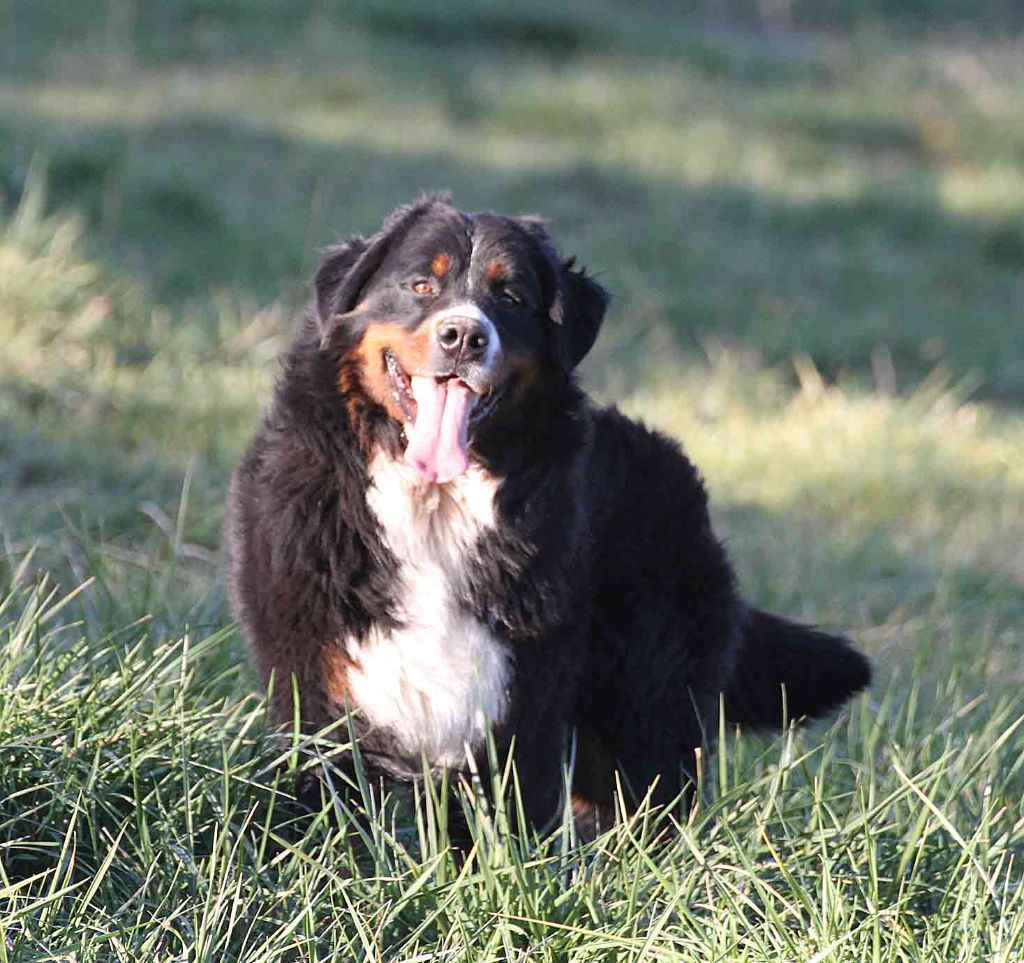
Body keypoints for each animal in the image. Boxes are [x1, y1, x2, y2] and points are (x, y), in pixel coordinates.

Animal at [226, 191, 872, 831]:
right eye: (421, 286)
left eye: (510, 298)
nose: (464, 336)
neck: (435, 504)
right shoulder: (324, 693)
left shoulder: (524, 706)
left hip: (647, 704)